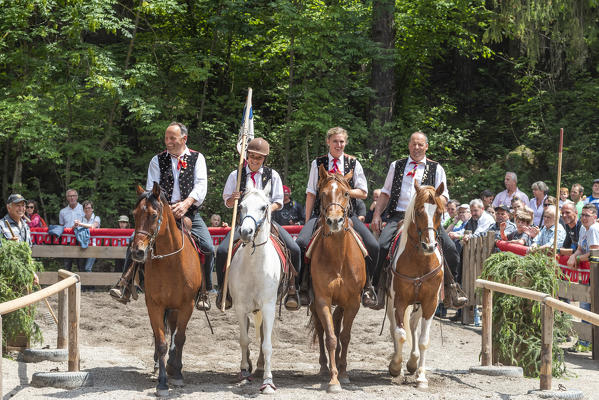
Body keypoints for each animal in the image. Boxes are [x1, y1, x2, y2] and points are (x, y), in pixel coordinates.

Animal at [129, 182, 203, 396]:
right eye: (134, 214)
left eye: (154, 215)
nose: (137, 252)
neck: (171, 262)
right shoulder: (154, 305)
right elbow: (161, 341)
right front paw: (162, 383)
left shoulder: (187, 305)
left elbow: (180, 338)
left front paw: (176, 373)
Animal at [227, 183, 284, 396]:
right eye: (242, 206)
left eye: (263, 207)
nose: (246, 231)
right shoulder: (240, 307)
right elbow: (244, 339)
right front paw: (244, 372)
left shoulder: (268, 306)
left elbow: (267, 345)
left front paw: (268, 381)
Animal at [308, 165, 368, 394]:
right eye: (323, 194)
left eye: (346, 193)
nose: (334, 221)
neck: (338, 258)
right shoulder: (322, 300)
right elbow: (331, 337)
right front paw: (333, 380)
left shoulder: (353, 302)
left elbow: (344, 335)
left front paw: (343, 373)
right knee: (321, 328)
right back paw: (324, 368)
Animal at [386, 180, 448, 388]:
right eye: (419, 211)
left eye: (439, 212)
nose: (429, 246)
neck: (420, 260)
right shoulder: (399, 300)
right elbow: (400, 333)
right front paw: (395, 366)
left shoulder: (430, 302)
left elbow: (423, 340)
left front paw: (421, 376)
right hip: (391, 302)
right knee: (395, 328)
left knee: (413, 325)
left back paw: (413, 362)